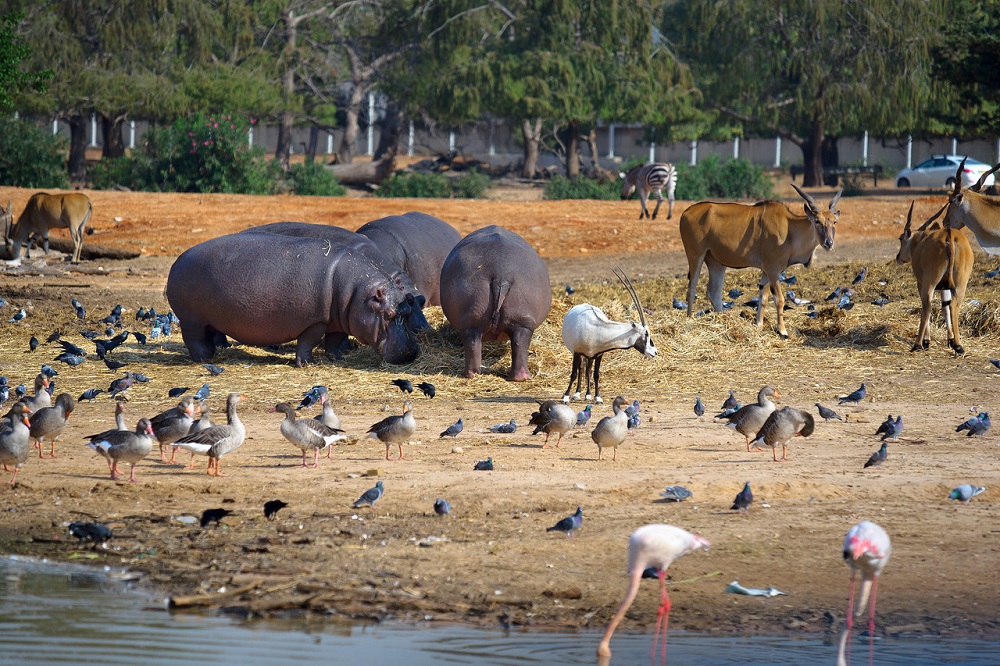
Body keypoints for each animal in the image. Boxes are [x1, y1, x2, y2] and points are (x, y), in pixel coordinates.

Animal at [564, 268, 656, 402]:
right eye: (646, 333)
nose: (655, 352)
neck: (597, 330)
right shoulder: (577, 352)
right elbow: (574, 374)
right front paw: (565, 396)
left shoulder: (598, 354)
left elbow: (596, 374)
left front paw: (597, 397)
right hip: (581, 354)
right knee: (581, 369)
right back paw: (577, 394)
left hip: (590, 356)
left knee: (587, 370)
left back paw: (587, 395)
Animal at [676, 183, 840, 334]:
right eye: (817, 221)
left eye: (834, 221)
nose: (829, 243)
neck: (789, 229)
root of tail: (685, 212)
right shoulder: (773, 270)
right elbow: (779, 299)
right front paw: (782, 331)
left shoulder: (766, 271)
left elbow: (763, 298)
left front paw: (759, 325)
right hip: (696, 255)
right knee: (691, 289)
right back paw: (689, 319)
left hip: (716, 263)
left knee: (714, 292)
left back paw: (723, 320)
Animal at [896, 200, 972, 352]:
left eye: (901, 238)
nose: (898, 257)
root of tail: (949, 235)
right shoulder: (945, 287)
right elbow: (945, 307)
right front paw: (950, 340)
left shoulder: (921, 283)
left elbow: (926, 307)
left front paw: (926, 341)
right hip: (961, 284)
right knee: (954, 305)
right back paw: (958, 345)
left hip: (929, 284)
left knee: (928, 307)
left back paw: (918, 344)